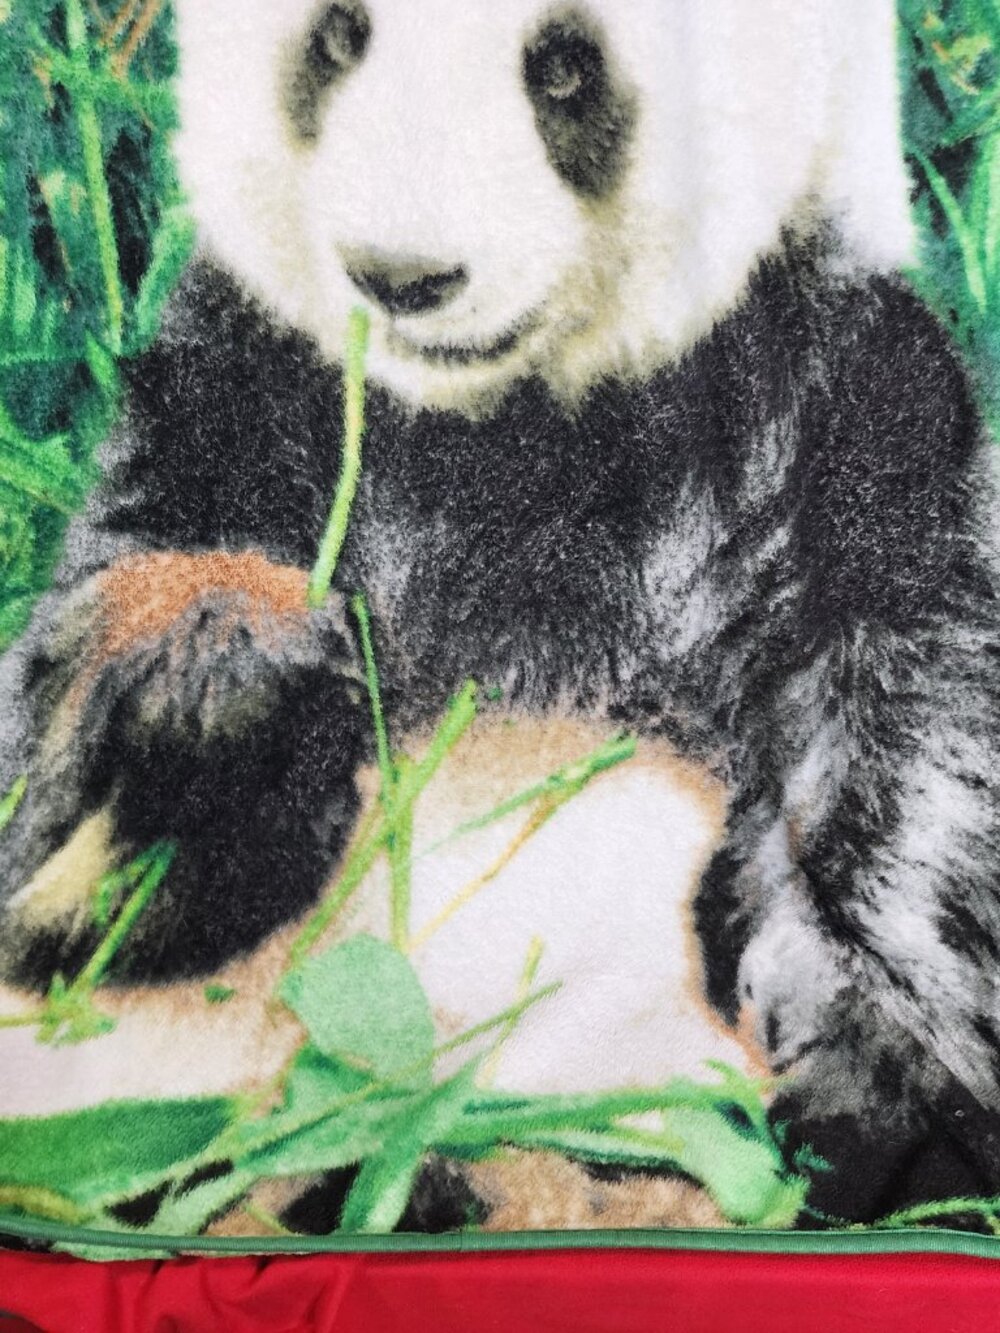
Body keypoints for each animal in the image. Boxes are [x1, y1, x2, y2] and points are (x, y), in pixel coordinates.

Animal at [1, 0, 1000, 1228]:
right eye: (339, 38)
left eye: (564, 66)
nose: (401, 275)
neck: (503, 426)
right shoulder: (238, 394)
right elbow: (53, 841)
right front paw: (215, 684)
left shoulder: (849, 412)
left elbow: (911, 722)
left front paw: (884, 1090)